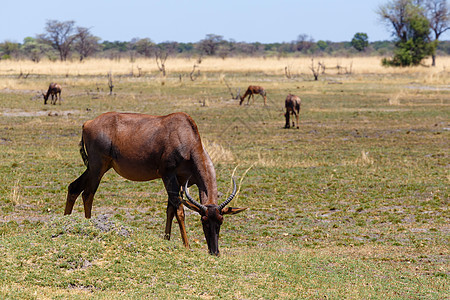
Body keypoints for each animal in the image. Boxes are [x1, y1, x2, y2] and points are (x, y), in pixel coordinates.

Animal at [64, 111, 246, 254]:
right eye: (204, 220)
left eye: (221, 220)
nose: (214, 252)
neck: (184, 134)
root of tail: (87, 123)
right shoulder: (168, 175)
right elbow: (179, 210)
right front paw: (187, 245)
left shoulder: (181, 180)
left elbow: (170, 209)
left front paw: (167, 238)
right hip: (98, 167)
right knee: (88, 193)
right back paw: (88, 223)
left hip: (97, 167)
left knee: (73, 187)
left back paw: (66, 219)